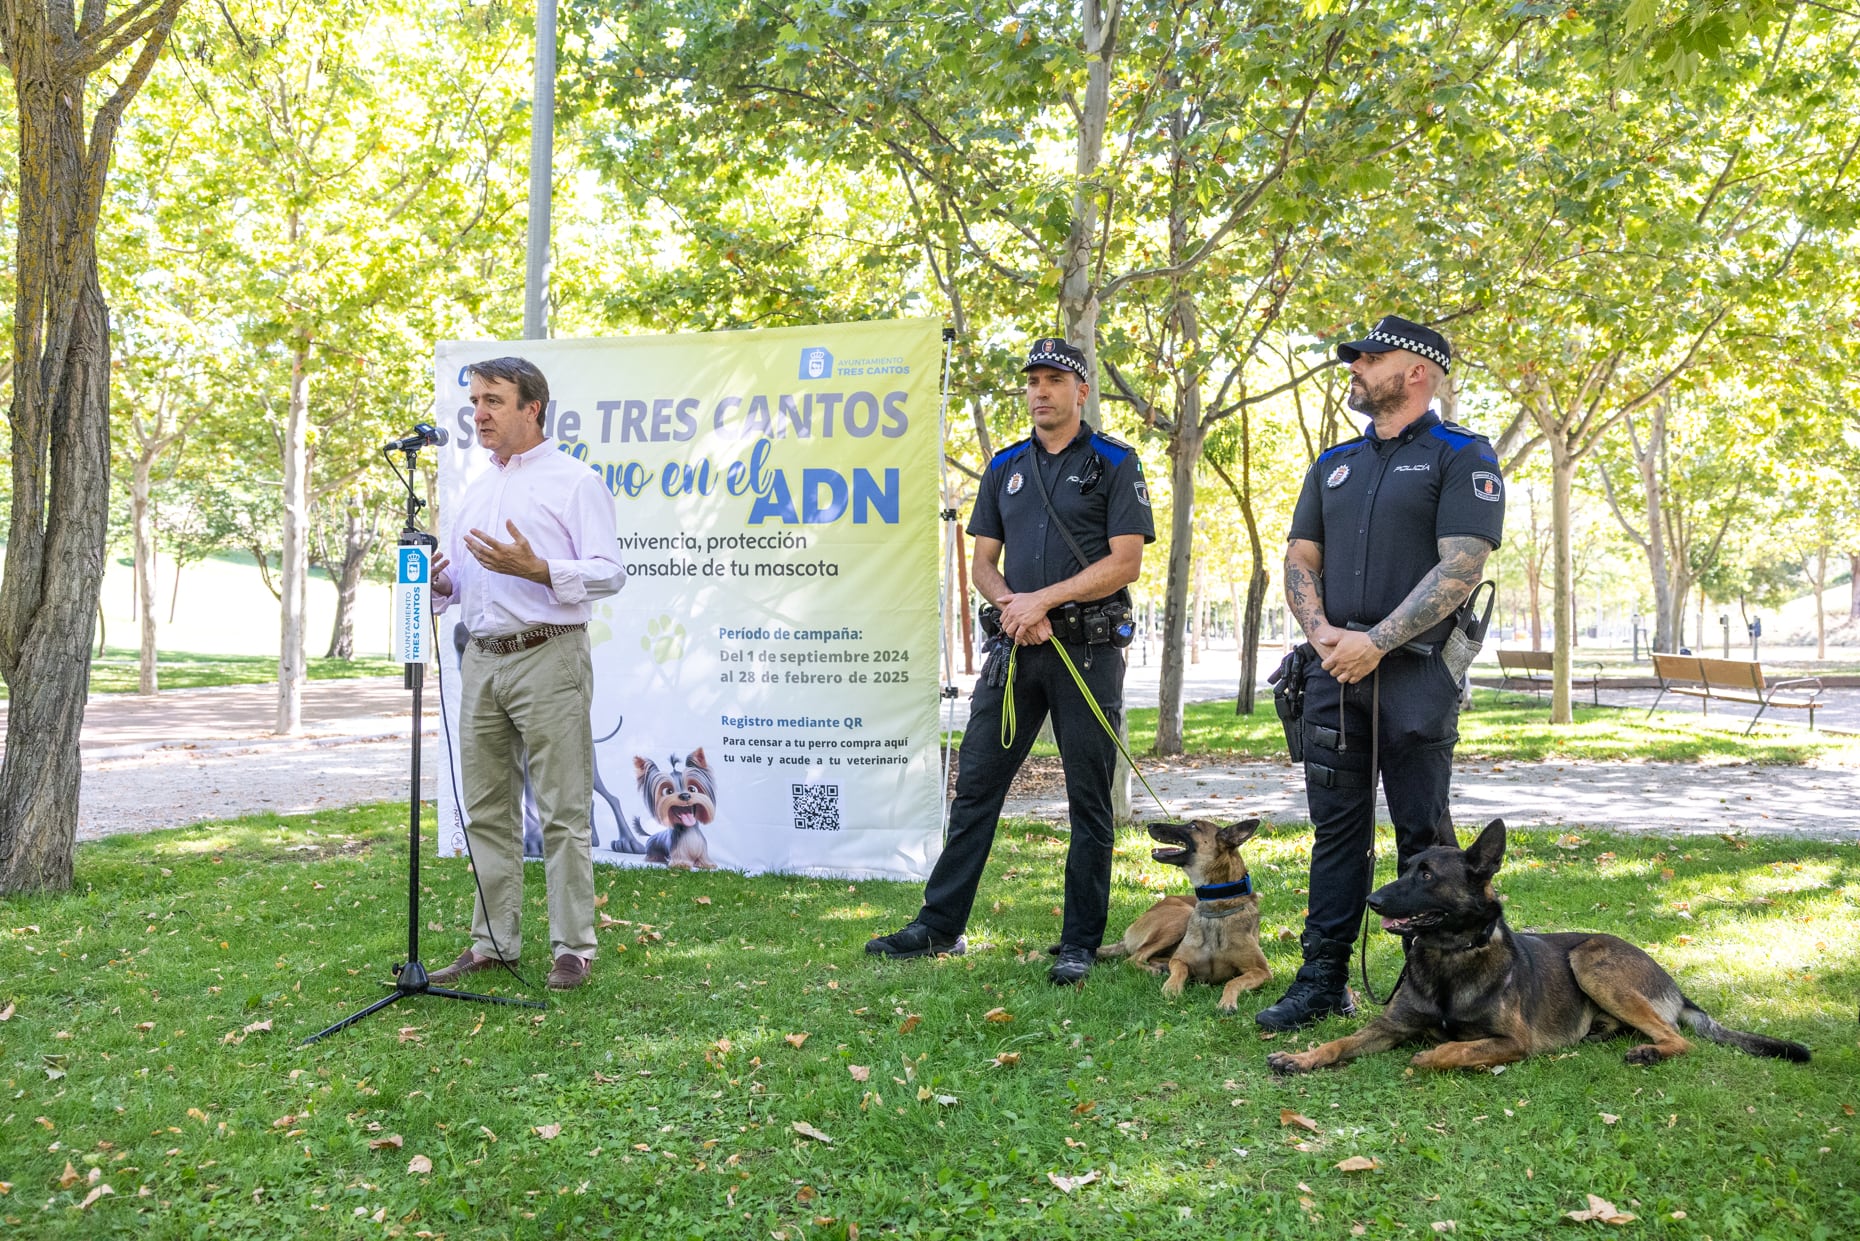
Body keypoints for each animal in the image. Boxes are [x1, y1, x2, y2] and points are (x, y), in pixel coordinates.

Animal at [1093, 818, 1272, 1012]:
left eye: (1193, 826)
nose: (1150, 825)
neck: (1217, 909)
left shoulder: (1262, 971)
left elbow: (1233, 982)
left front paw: (1227, 1001)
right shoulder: (1180, 960)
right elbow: (1180, 970)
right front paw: (1171, 987)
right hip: (1180, 918)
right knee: (1132, 959)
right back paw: (1154, 970)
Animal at [1272, 818, 1807, 1071]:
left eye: (1425, 875)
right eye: (1405, 869)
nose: (1371, 899)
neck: (1450, 957)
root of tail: (1673, 984)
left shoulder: (1513, 1042)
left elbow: (1457, 1048)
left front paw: (1428, 1057)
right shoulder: (1388, 1026)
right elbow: (1339, 1042)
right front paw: (1301, 1057)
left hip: (1590, 961)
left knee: (1677, 1037)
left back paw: (1649, 1051)